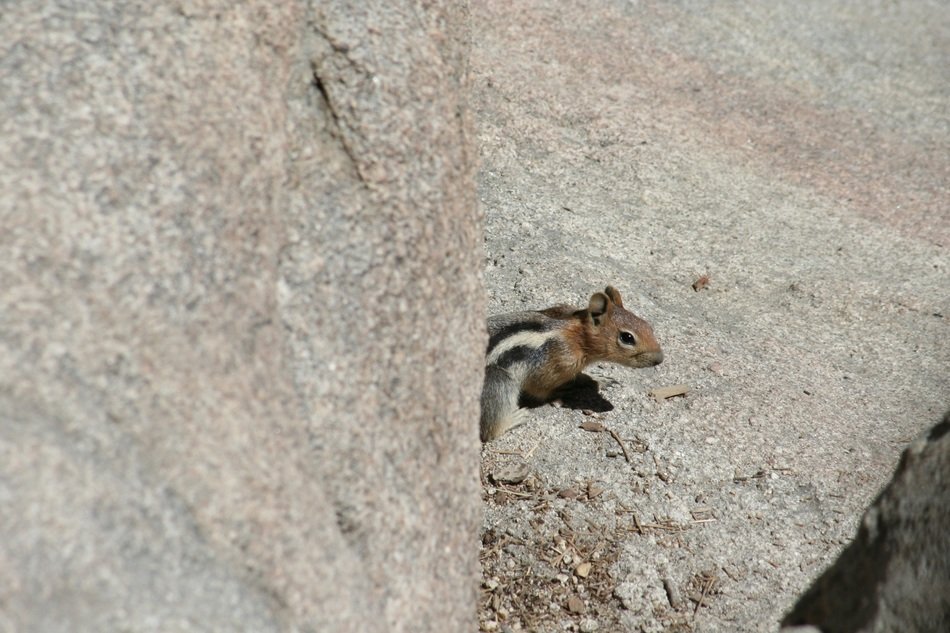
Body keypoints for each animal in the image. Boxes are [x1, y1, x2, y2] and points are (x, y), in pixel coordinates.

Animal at [480, 286, 663, 441]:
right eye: (627, 337)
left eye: (648, 326)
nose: (660, 359)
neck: (577, 337)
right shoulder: (555, 364)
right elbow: (540, 390)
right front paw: (565, 390)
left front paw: (597, 378)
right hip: (498, 380)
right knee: (489, 429)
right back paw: (515, 418)